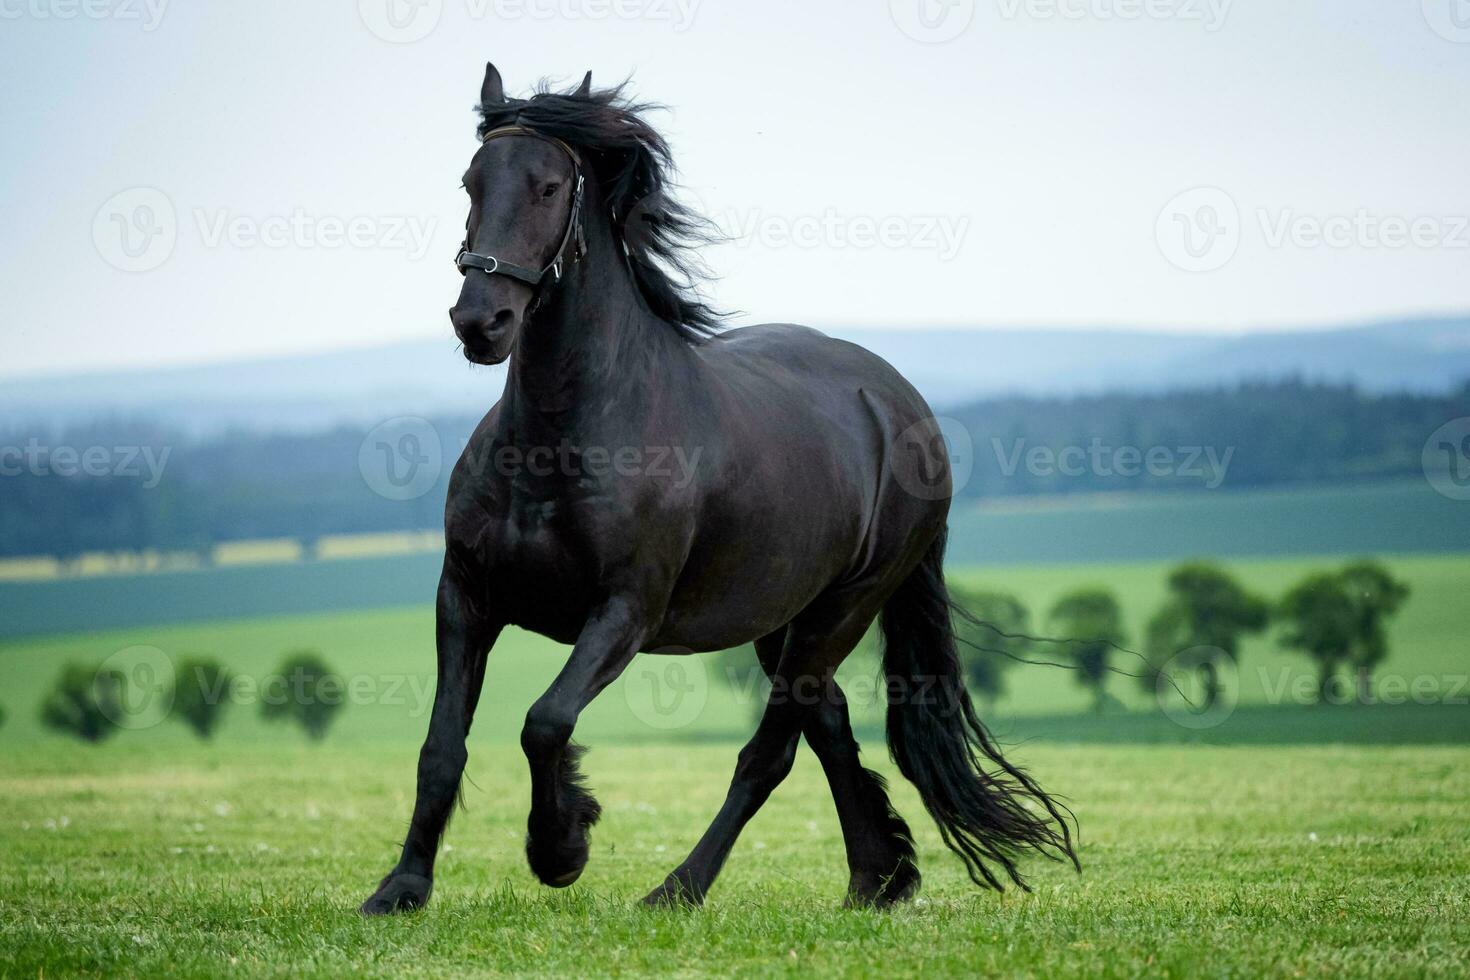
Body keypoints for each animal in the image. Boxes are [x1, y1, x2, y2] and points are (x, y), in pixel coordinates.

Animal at [361, 65, 1076, 916]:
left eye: (548, 186)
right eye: (471, 181)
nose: (481, 321)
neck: (559, 442)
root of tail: (902, 404)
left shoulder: (625, 612)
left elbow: (545, 721)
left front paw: (562, 845)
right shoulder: (466, 599)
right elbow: (441, 746)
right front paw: (401, 889)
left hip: (842, 610)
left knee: (769, 755)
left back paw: (680, 887)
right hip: (781, 619)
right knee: (828, 724)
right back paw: (877, 878)